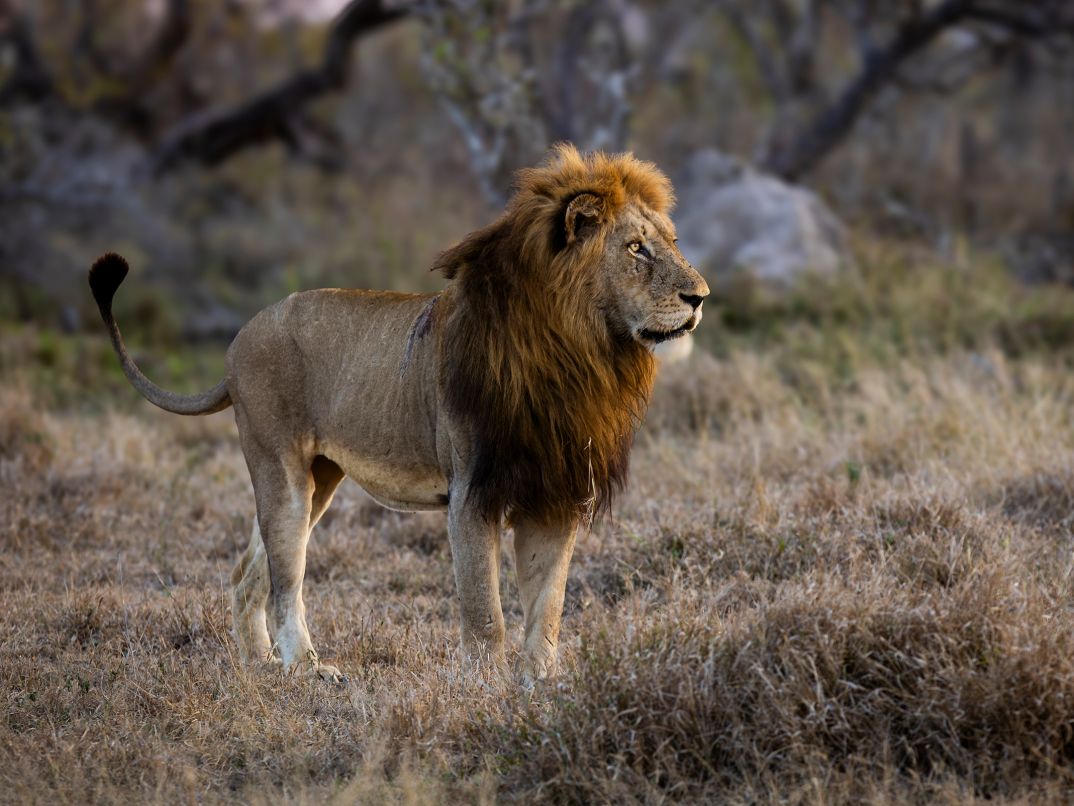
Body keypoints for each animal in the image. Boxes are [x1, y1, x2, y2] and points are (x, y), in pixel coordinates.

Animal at [88, 144, 709, 683]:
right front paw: (483, 688)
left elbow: (547, 605)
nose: (700, 296)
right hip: (280, 471)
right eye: (636, 249)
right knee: (286, 580)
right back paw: (307, 668)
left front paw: (539, 682)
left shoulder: (554, 491)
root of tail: (239, 339)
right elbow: (486, 610)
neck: (581, 355)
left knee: (248, 573)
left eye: (672, 241)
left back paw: (259, 667)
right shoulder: (472, 493)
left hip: (320, 479)